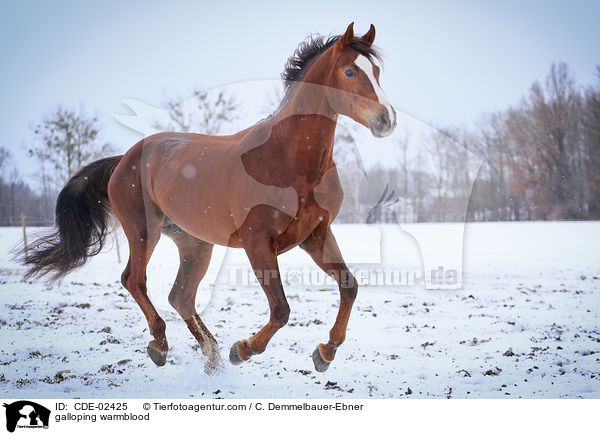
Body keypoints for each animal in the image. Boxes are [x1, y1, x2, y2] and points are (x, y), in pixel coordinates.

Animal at [21, 22, 396, 372]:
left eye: (377, 72)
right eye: (350, 71)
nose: (387, 119)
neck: (288, 159)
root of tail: (124, 158)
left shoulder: (316, 235)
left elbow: (349, 287)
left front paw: (324, 353)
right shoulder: (258, 242)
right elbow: (280, 309)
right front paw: (242, 350)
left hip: (194, 244)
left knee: (181, 296)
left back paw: (210, 351)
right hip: (143, 230)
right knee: (135, 280)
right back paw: (162, 345)